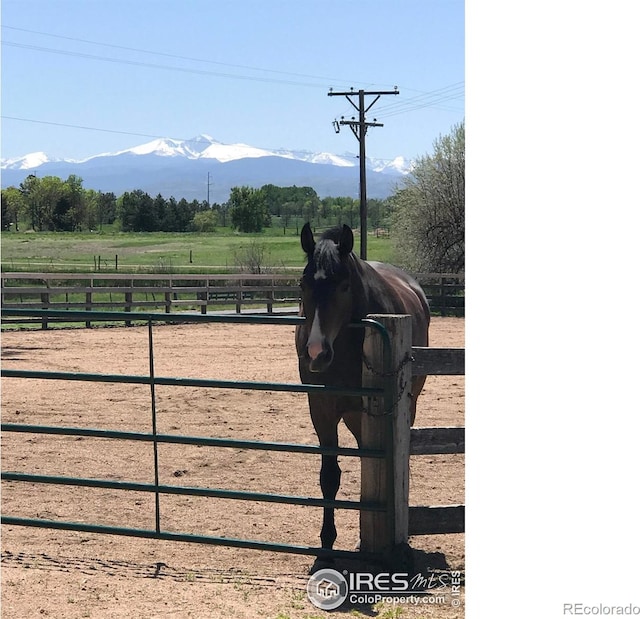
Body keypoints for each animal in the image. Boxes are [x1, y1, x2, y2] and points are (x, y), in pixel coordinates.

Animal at [296, 223, 430, 552]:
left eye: (344, 285)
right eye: (303, 284)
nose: (316, 352)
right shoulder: (321, 407)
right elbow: (329, 476)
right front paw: (327, 543)